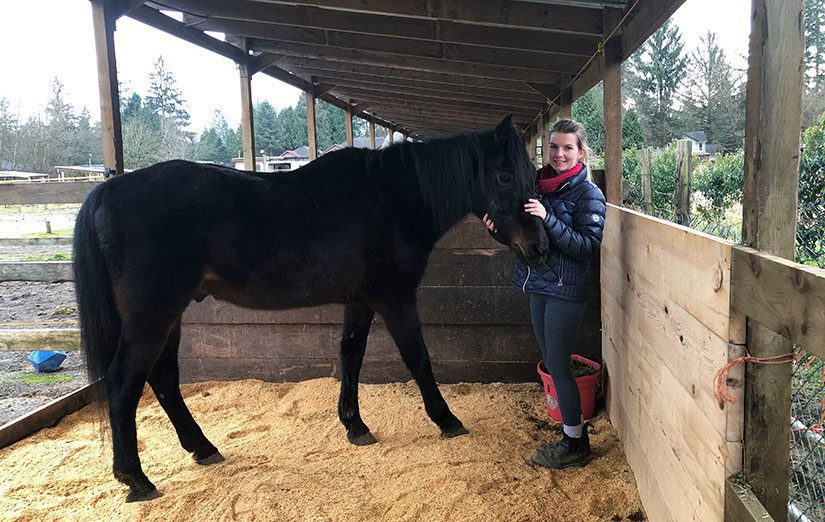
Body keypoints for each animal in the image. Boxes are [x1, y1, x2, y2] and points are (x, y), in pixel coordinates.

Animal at [72, 115, 548, 500]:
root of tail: (109, 188)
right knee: (124, 383)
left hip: (170, 314)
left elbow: (351, 356)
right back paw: (136, 479)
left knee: (165, 379)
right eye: (505, 176)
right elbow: (418, 359)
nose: (539, 248)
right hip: (152, 315)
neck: (389, 200)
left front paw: (355, 426)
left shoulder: (360, 300)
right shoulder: (394, 297)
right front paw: (447, 420)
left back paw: (203, 449)